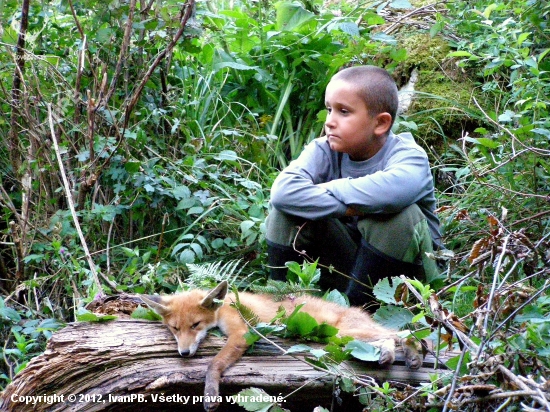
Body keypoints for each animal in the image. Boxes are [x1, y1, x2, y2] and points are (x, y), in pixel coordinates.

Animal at [141, 282, 422, 410]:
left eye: (196, 325)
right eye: (175, 329)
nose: (184, 353)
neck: (225, 306)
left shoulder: (242, 333)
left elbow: (213, 364)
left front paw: (210, 392)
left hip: (343, 334)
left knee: (402, 333)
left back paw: (413, 352)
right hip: (345, 338)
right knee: (390, 338)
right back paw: (392, 356)